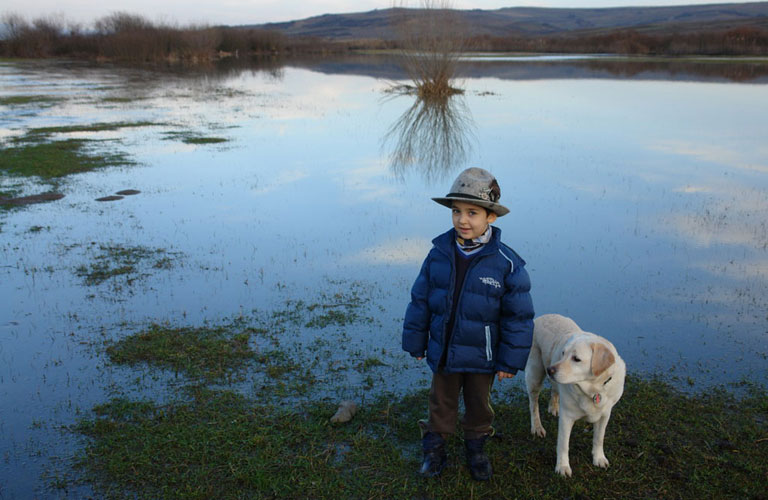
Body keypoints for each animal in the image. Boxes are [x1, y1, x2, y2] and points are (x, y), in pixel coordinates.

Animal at [524, 312, 628, 476]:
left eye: (576, 359)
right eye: (563, 353)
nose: (550, 370)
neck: (594, 388)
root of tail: (543, 316)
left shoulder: (605, 414)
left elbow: (599, 438)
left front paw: (599, 458)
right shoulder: (567, 417)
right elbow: (563, 444)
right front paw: (562, 467)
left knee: (555, 389)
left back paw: (554, 407)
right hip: (535, 373)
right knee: (533, 403)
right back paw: (537, 427)